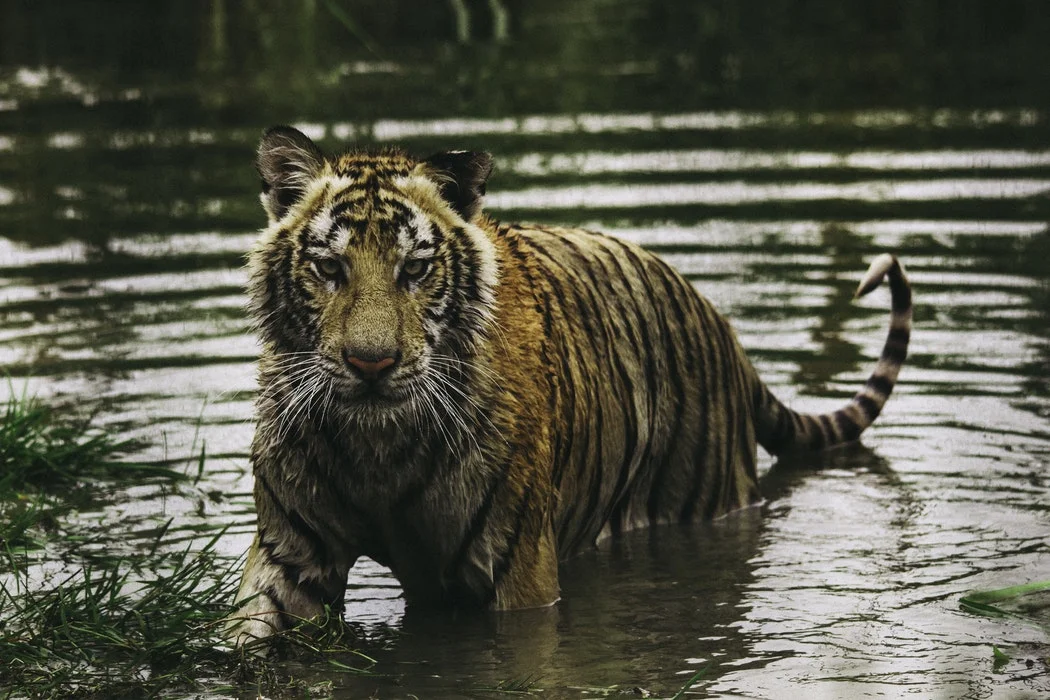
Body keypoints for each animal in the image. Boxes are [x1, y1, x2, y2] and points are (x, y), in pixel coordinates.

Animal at [226, 125, 912, 645]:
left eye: (415, 269)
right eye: (328, 267)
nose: (371, 364)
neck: (377, 449)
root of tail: (725, 330)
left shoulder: (516, 570)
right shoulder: (291, 555)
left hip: (703, 501)